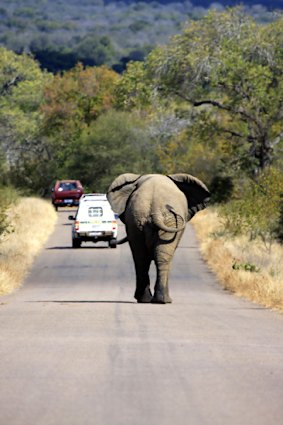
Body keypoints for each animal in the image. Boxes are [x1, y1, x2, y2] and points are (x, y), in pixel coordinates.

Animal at [107, 171, 210, 304]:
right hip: (164, 221)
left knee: (141, 258)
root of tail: (155, 212)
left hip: (137, 220)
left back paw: (148, 299)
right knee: (160, 258)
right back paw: (163, 300)